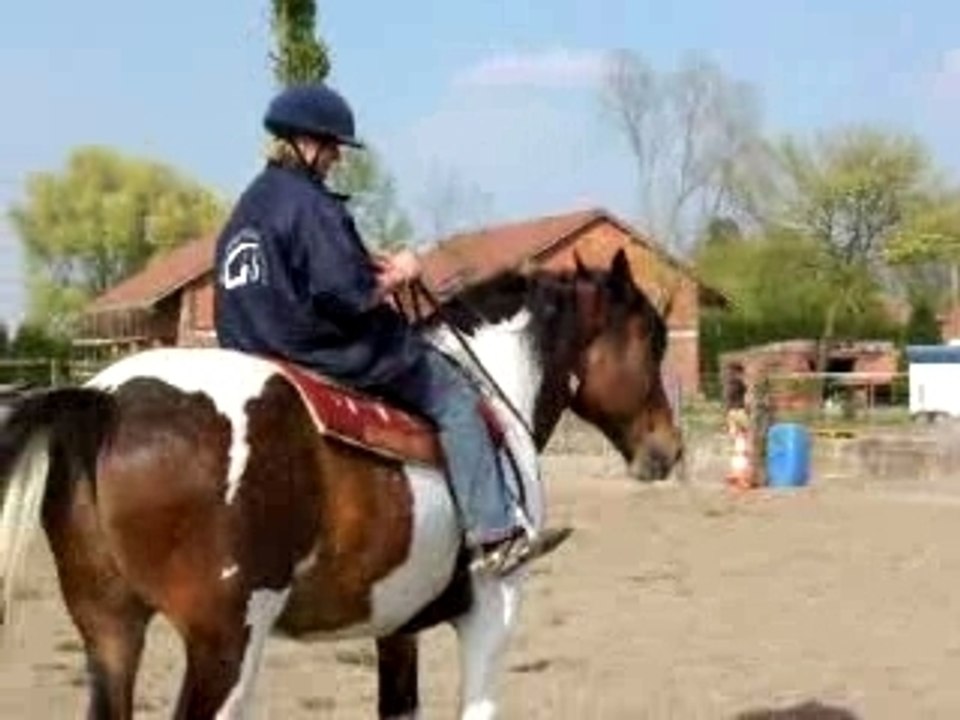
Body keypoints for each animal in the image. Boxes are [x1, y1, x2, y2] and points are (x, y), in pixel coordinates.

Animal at [0, 248, 682, 719]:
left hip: (110, 631)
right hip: (225, 644)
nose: (668, 450)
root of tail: (105, 400)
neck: (491, 392)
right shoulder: (495, 607)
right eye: (651, 341)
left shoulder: (398, 625)